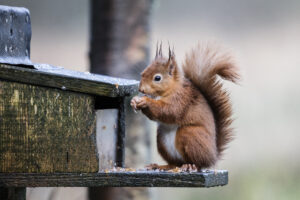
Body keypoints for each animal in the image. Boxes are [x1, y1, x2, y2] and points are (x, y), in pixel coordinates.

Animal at [131, 42, 239, 170]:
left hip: (190, 134)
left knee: (199, 163)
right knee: (174, 163)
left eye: (157, 78)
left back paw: (191, 166)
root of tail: (213, 156)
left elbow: (169, 111)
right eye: (142, 73)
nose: (141, 89)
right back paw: (160, 166)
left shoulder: (182, 99)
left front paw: (145, 101)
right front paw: (134, 101)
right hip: (161, 139)